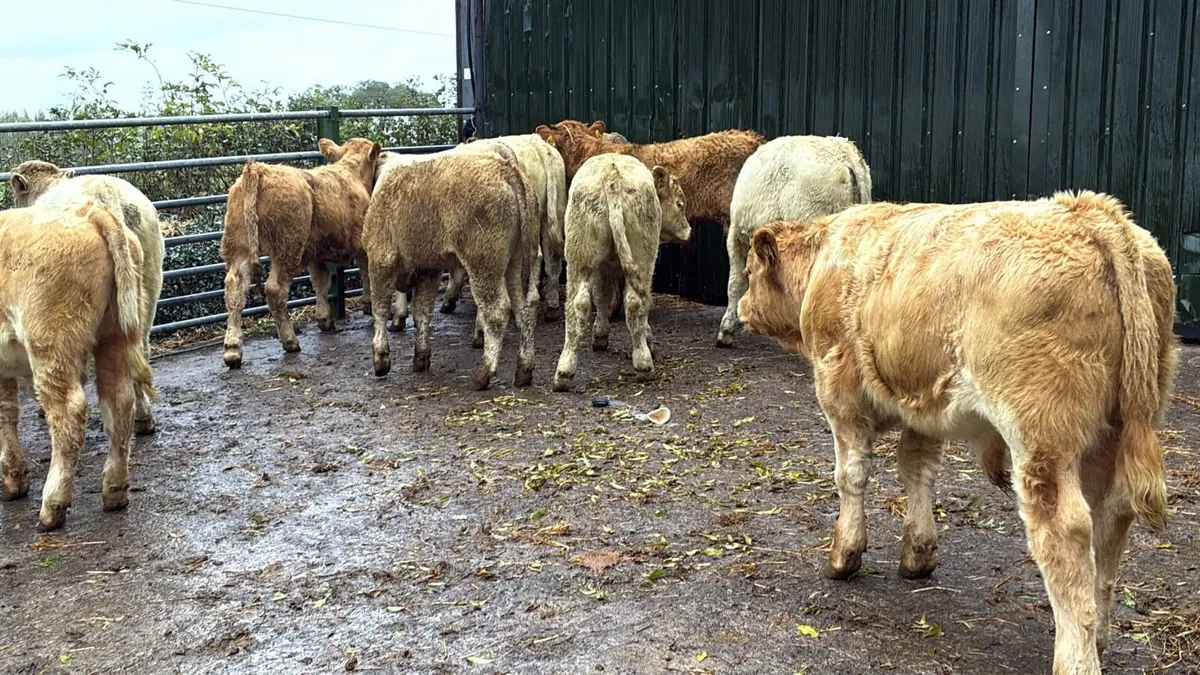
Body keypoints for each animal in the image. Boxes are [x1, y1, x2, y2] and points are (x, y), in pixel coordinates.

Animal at [0, 201, 156, 531]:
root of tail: (91, 214)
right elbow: (6, 412)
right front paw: (13, 479)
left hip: (51, 345)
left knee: (69, 413)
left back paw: (52, 506)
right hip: (114, 336)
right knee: (118, 402)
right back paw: (114, 490)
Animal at [220, 137, 381, 368]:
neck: (352, 174)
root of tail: (258, 169)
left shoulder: (317, 255)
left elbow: (321, 283)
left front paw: (324, 319)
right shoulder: (361, 244)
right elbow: (366, 273)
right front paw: (368, 305)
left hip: (238, 247)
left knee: (235, 288)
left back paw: (232, 349)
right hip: (287, 248)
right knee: (275, 290)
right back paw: (289, 340)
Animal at [363, 152, 541, 391]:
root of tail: (505, 169)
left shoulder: (381, 259)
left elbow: (380, 309)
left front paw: (381, 359)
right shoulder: (428, 269)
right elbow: (422, 310)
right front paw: (421, 357)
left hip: (484, 264)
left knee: (497, 311)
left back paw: (483, 374)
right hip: (517, 261)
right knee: (525, 308)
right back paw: (524, 369)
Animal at [552, 155, 690, 391]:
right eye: (679, 204)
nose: (689, 230)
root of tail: (612, 176)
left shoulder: (602, 267)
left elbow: (601, 297)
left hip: (580, 258)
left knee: (577, 305)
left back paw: (564, 371)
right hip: (642, 259)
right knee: (635, 303)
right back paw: (644, 362)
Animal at [736, 192, 1178, 675]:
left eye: (750, 271)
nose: (741, 307)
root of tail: (1096, 214)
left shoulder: (840, 396)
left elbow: (851, 475)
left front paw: (844, 555)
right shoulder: (922, 406)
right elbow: (917, 469)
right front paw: (918, 553)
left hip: (1043, 439)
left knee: (1067, 533)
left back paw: (1075, 658)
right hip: (1113, 432)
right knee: (1111, 518)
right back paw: (1098, 634)